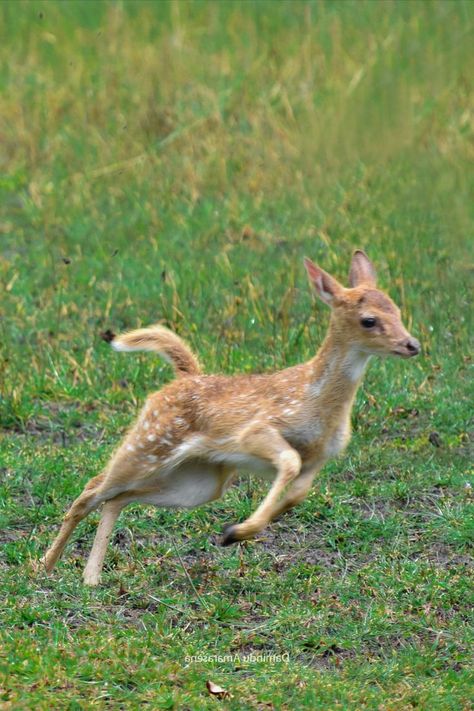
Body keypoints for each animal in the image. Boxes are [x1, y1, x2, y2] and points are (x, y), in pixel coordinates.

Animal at [40, 250, 418, 584]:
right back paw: (45, 565)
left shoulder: (321, 457)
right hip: (148, 443)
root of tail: (183, 377)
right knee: (91, 490)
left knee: (116, 499)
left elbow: (298, 491)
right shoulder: (257, 432)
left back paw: (90, 578)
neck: (318, 402)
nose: (412, 344)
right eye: (369, 320)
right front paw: (236, 531)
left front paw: (236, 531)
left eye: (398, 310)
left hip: (198, 481)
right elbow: (289, 462)